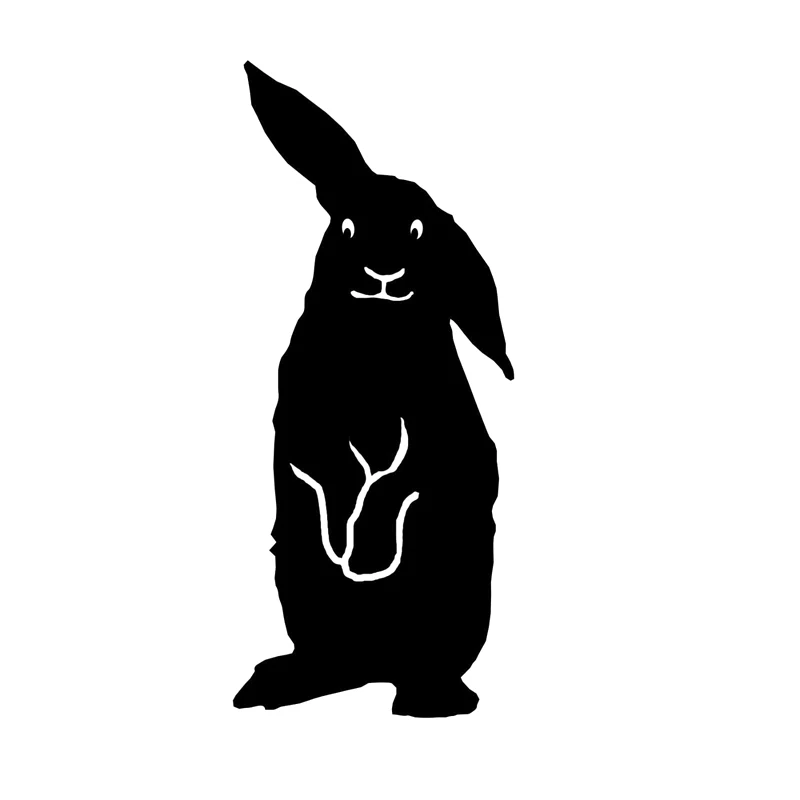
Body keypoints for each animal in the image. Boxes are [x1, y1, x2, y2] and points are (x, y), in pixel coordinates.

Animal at [233, 61, 513, 717]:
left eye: (417, 230)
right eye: (347, 226)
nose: (383, 272)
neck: (374, 339)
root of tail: (375, 667)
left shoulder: (442, 431)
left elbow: (396, 480)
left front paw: (367, 555)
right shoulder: (302, 415)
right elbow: (331, 465)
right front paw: (346, 547)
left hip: (458, 592)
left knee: (432, 661)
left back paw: (432, 701)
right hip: (299, 587)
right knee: (325, 657)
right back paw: (276, 683)